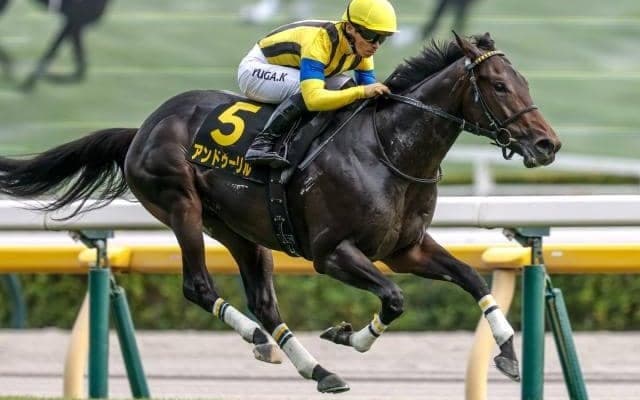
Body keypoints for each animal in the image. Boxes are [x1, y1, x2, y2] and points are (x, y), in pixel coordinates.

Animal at [0, 32, 560, 393]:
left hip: (239, 229)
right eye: (499, 86)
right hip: (182, 206)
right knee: (199, 286)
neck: (390, 151)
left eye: (526, 82)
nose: (547, 144)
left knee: (264, 302)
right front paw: (347, 336)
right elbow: (395, 298)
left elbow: (474, 279)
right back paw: (261, 340)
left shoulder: (407, 249)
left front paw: (508, 354)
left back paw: (312, 367)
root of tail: (142, 128)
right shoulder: (331, 254)